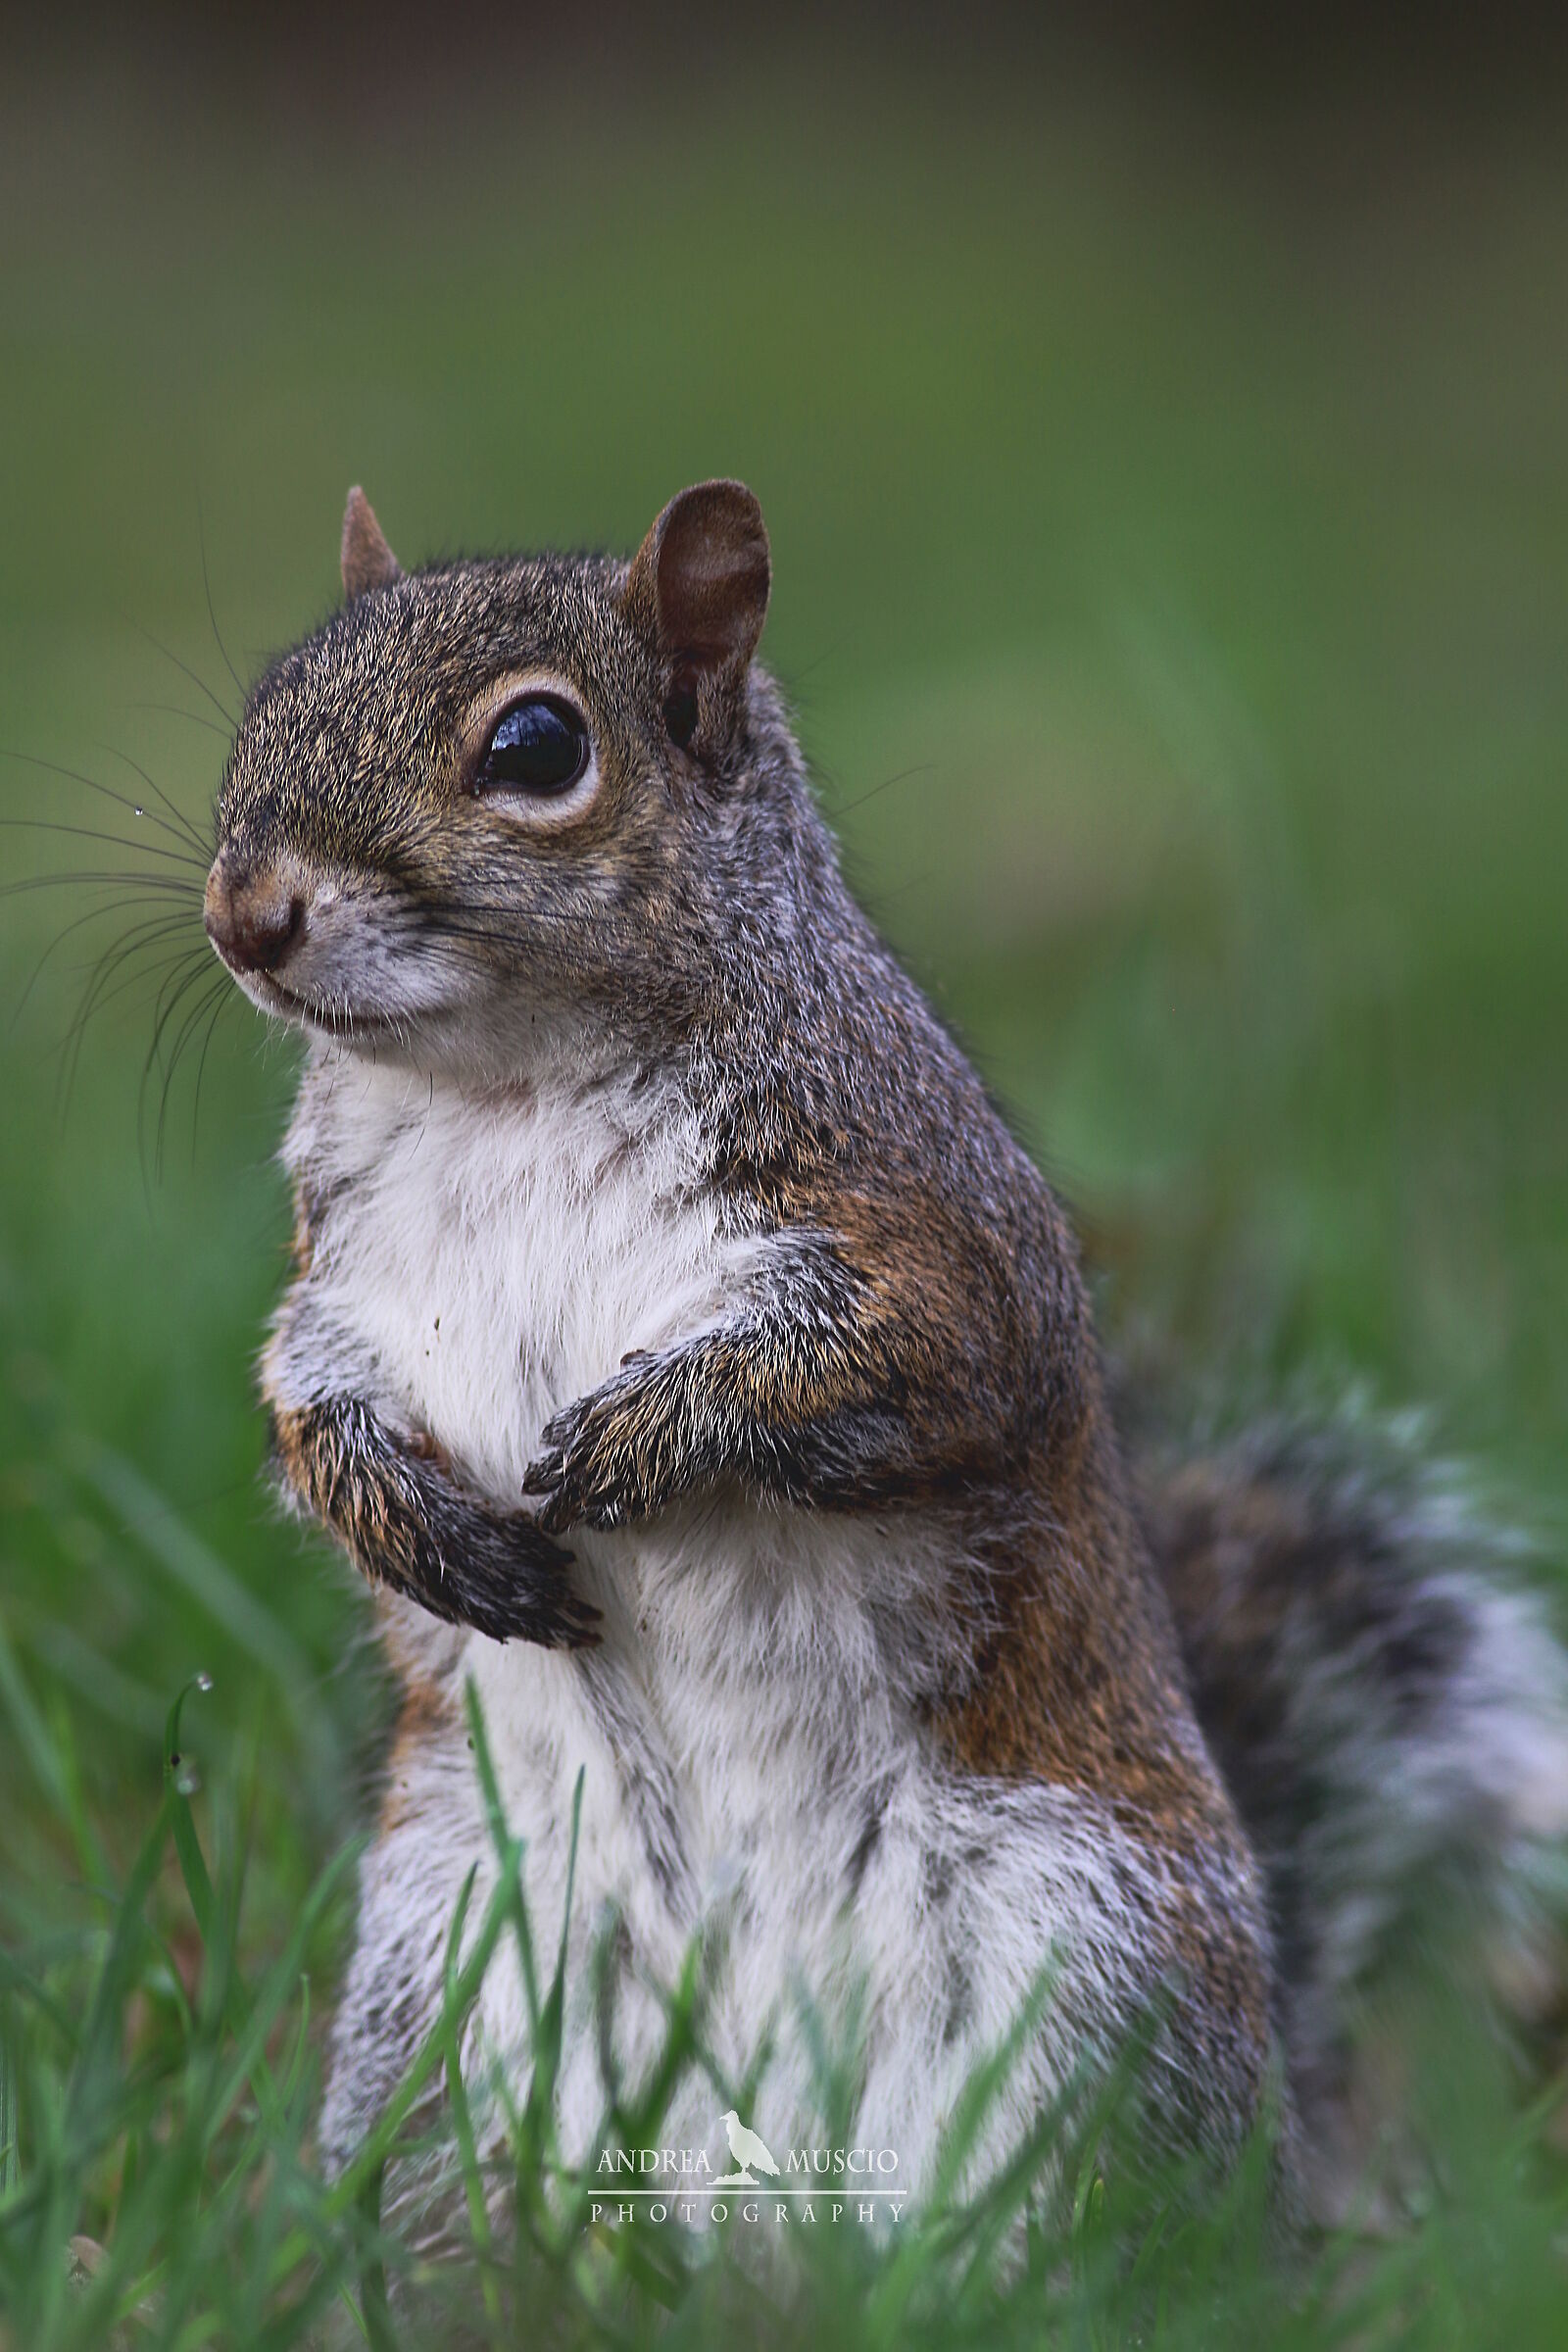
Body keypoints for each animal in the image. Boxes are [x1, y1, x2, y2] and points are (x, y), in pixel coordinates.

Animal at [202, 480, 1568, 2236]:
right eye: (269, 697)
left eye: (534, 747)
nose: (245, 916)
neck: (503, 1087)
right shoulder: (344, 1294)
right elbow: (308, 1414)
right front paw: (422, 1531)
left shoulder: (936, 1235)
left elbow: (900, 1370)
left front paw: (647, 1440)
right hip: (439, 1977)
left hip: (1091, 1959)